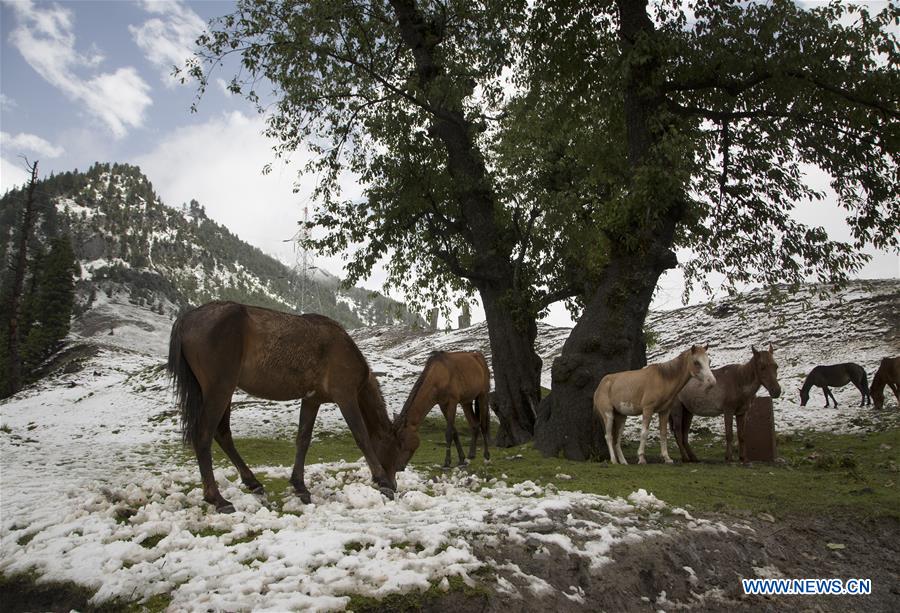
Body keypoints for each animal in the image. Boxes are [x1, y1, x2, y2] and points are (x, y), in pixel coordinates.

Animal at [169, 302, 400, 512]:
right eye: (395, 447)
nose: (395, 480)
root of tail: (186, 319)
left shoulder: (312, 400)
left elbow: (303, 439)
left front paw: (300, 486)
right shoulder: (346, 396)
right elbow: (361, 437)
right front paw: (383, 481)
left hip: (221, 392)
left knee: (222, 434)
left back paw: (252, 482)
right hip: (220, 389)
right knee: (204, 435)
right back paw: (218, 499)